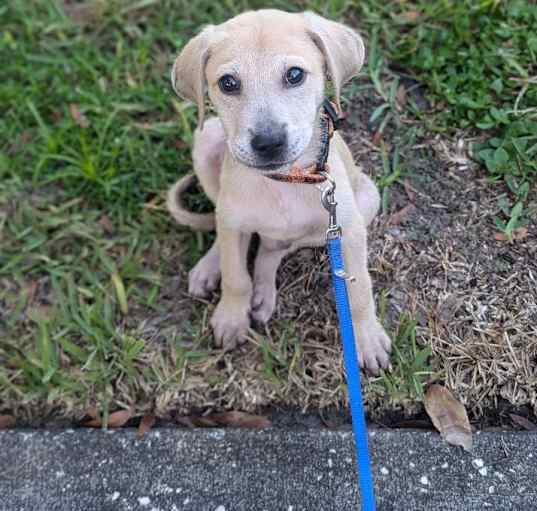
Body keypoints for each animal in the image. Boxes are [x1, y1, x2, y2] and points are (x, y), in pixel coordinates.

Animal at [168, 10, 390, 374]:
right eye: (228, 83)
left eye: (295, 75)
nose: (269, 143)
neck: (284, 180)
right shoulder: (234, 222)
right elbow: (235, 274)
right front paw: (231, 317)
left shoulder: (347, 228)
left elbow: (358, 288)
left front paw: (367, 338)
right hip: (207, 140)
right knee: (230, 232)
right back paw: (212, 269)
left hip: (366, 200)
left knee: (271, 251)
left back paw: (262, 292)